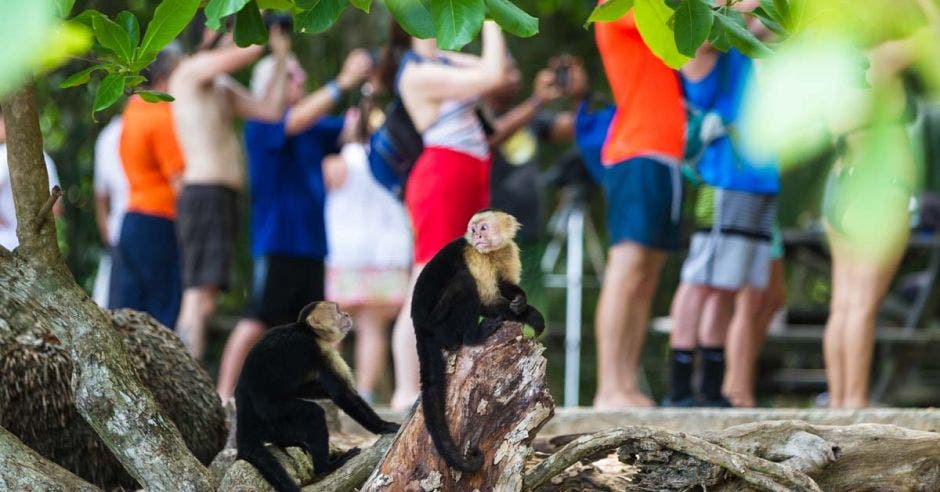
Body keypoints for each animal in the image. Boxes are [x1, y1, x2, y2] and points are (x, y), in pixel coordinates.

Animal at [235, 302, 400, 490]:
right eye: (337, 311)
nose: (346, 314)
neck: (309, 332)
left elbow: (298, 388)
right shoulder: (318, 348)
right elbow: (342, 394)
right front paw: (384, 426)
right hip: (271, 412)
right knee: (313, 413)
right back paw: (326, 467)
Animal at [410, 209, 544, 472]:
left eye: (483, 228)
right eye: (473, 230)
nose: (477, 236)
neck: (490, 252)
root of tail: (419, 325)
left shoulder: (508, 251)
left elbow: (505, 283)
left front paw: (521, 301)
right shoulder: (474, 257)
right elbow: (488, 301)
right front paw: (530, 315)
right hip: (438, 322)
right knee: (463, 282)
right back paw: (474, 335)